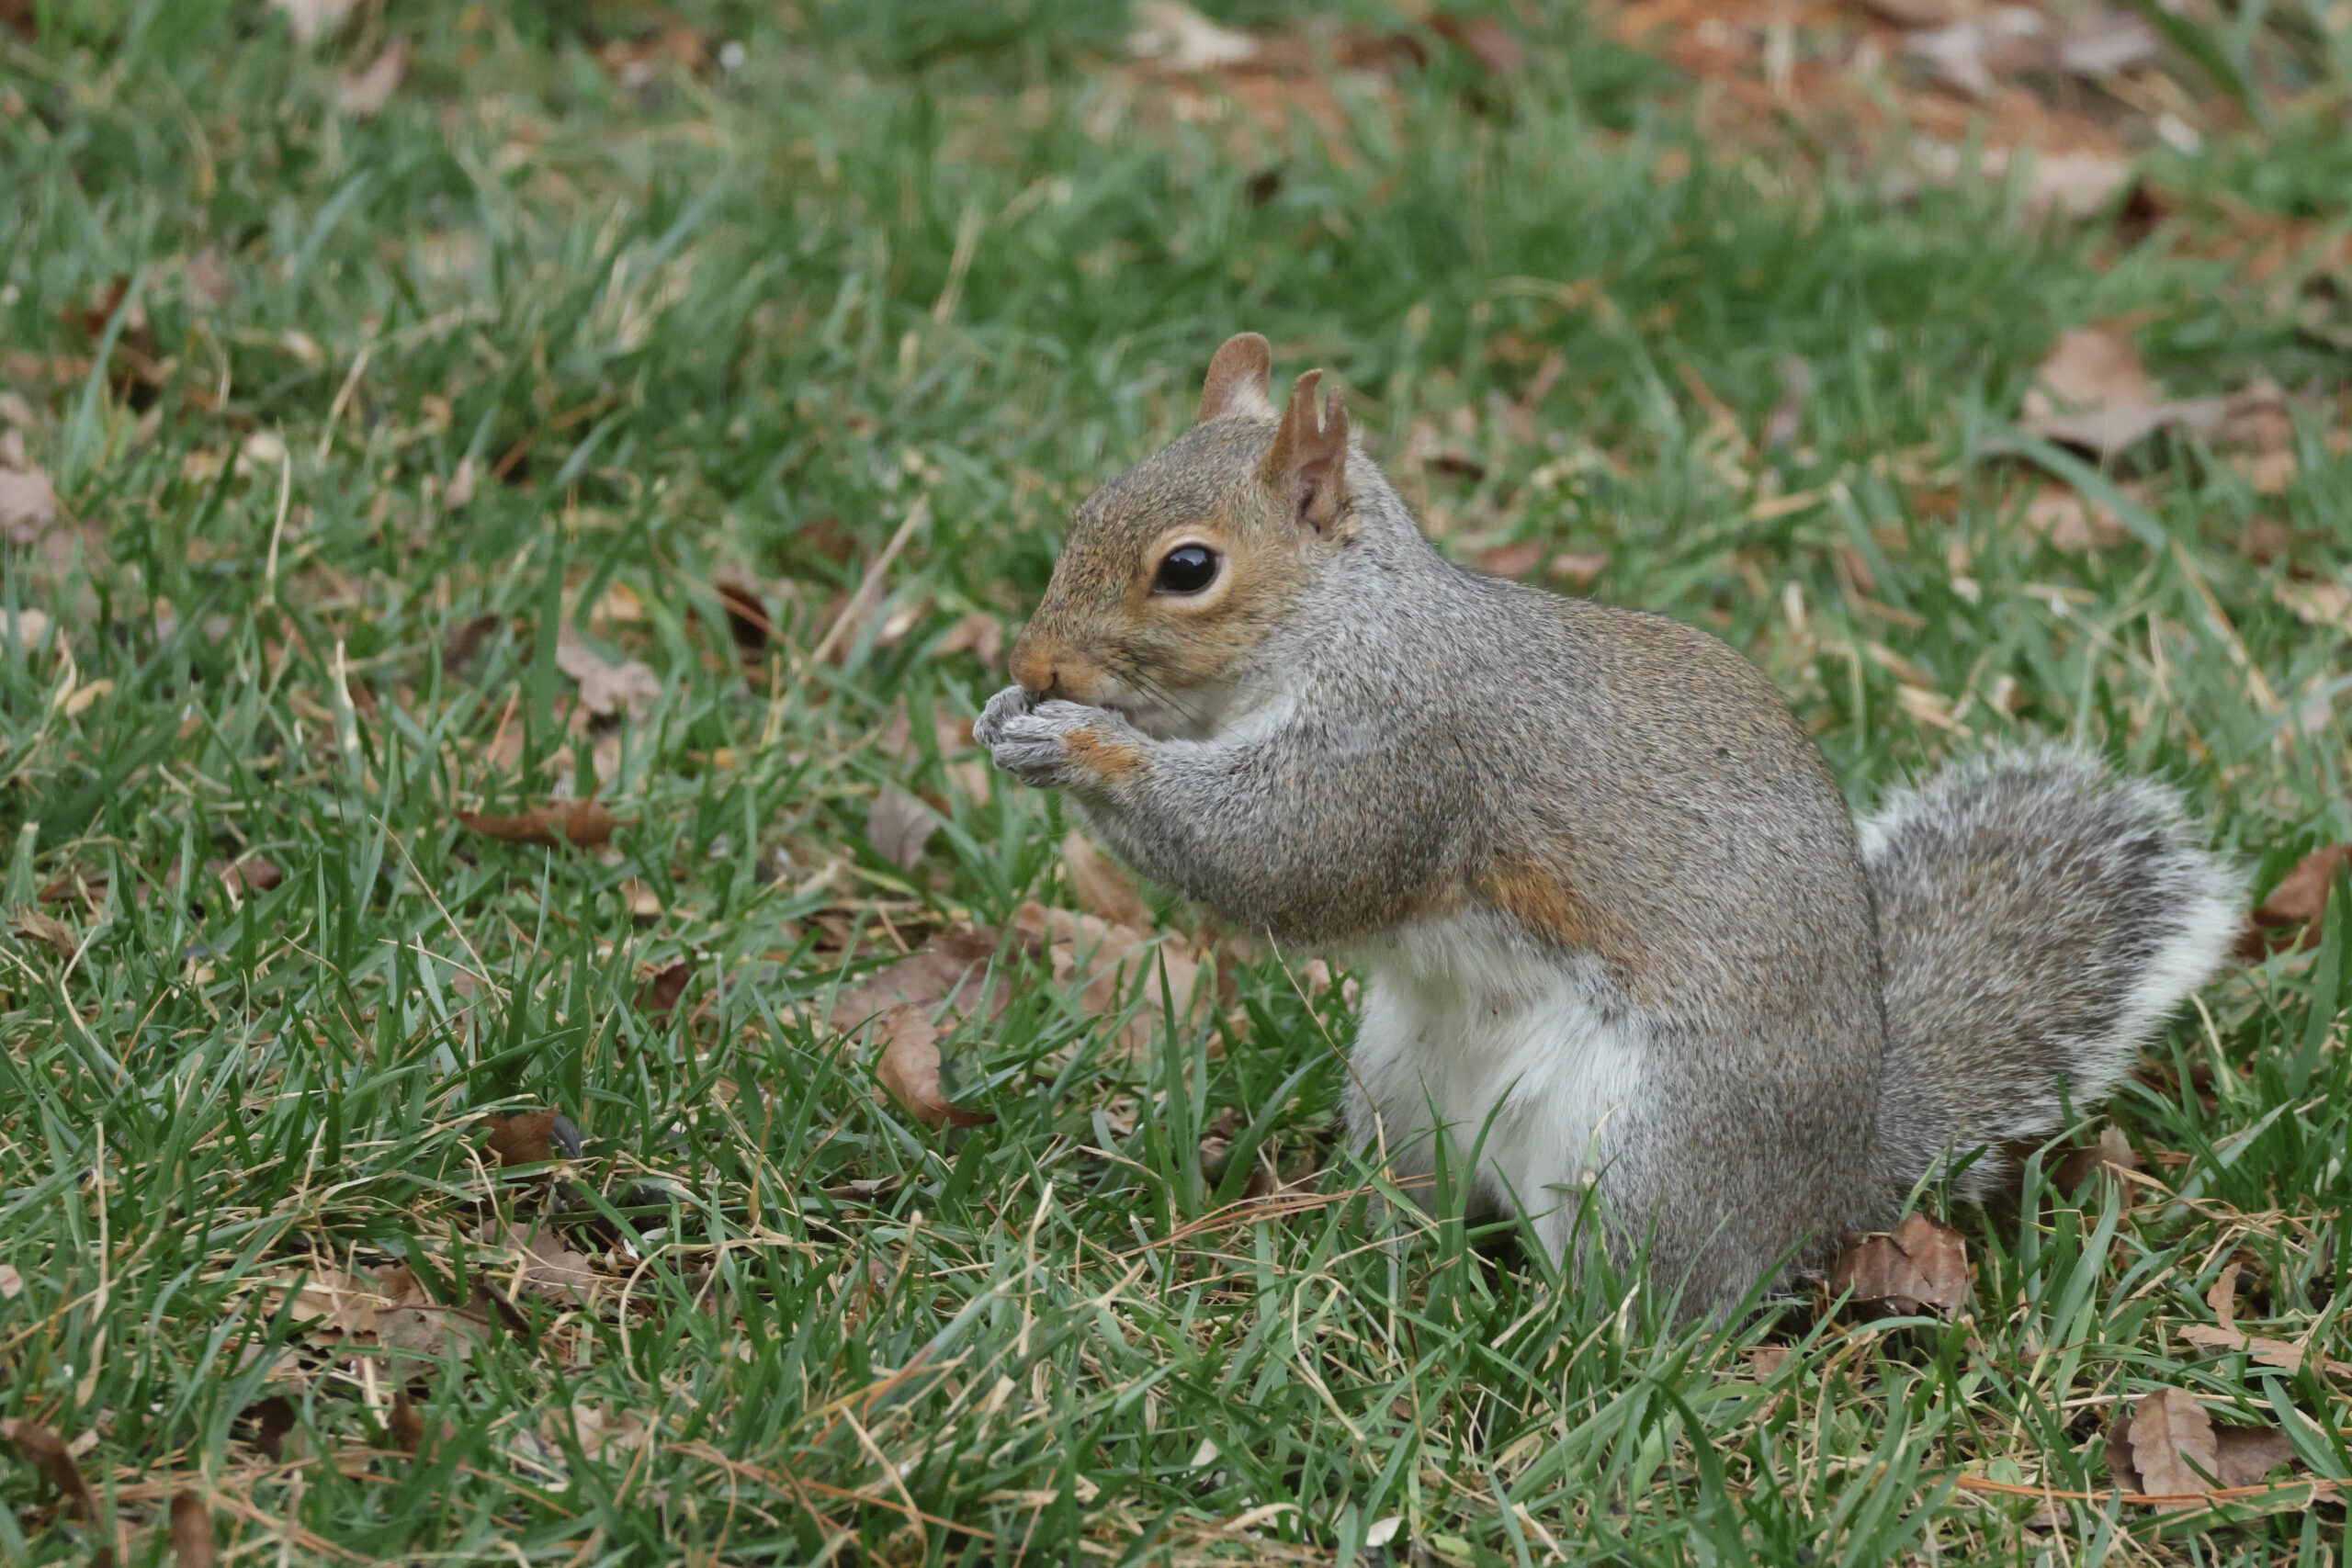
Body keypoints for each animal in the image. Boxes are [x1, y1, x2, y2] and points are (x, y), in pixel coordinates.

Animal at [973, 332, 2242, 1316]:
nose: (1033, 663)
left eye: (1187, 568)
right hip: (1400, 1091)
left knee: (1657, 1300)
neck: (1348, 621)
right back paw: (1365, 1254)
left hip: (1647, 1153)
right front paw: (1006, 718)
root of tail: (1833, 1182)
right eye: (1083, 510)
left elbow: (1282, 854)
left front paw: (1080, 747)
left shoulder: (1406, 752)